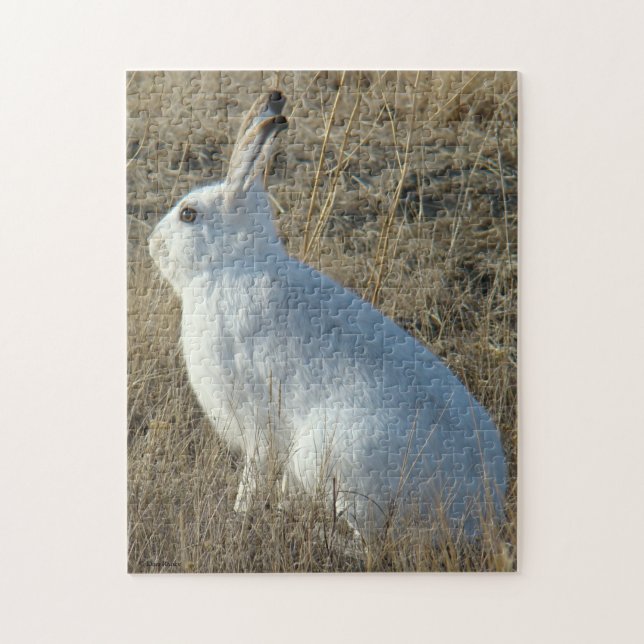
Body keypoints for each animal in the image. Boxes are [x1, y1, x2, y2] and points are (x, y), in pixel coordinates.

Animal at [149, 90, 507, 541]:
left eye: (188, 214)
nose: (151, 243)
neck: (234, 266)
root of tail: (479, 513)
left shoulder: (257, 423)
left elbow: (253, 475)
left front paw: (239, 515)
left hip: (339, 459)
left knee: (367, 543)